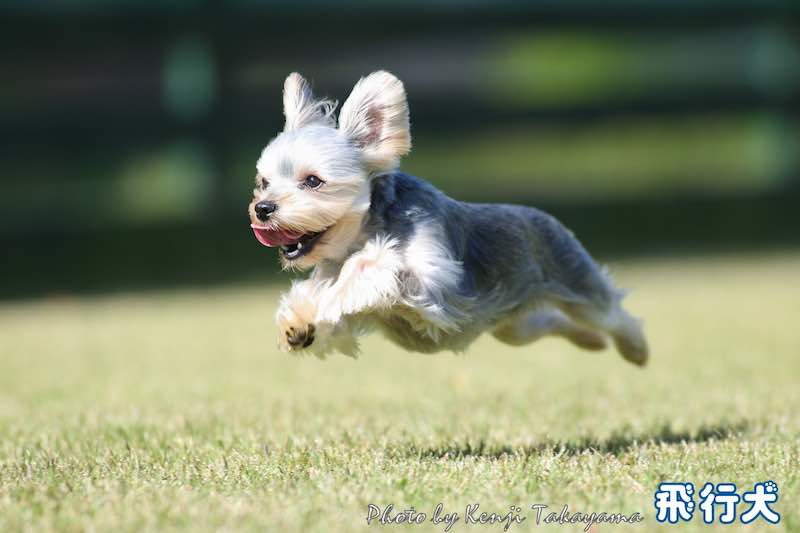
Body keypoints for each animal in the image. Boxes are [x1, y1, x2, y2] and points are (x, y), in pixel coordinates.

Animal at [250, 71, 648, 366]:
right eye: (263, 182)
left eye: (312, 181)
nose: (262, 209)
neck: (366, 231)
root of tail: (543, 215)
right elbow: (330, 313)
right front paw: (300, 322)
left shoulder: (438, 285)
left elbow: (373, 267)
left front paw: (363, 267)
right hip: (513, 325)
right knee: (551, 322)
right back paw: (591, 342)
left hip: (574, 278)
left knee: (612, 312)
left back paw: (635, 349)